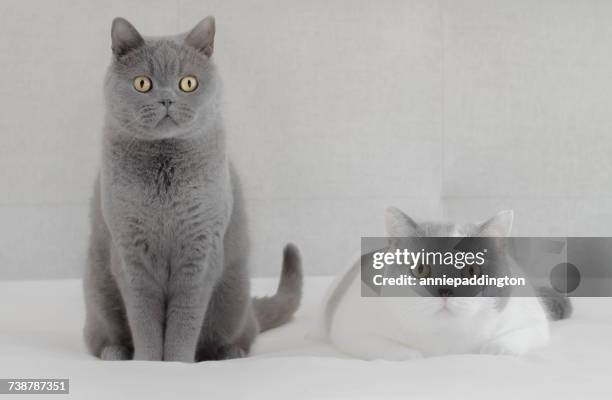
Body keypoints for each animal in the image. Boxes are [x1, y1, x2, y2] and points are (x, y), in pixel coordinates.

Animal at [82, 16, 302, 362]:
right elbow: (143, 318)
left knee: (240, 333)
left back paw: (229, 353)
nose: (167, 99)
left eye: (188, 83)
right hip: (97, 287)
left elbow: (184, 320)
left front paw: (176, 364)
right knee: (99, 335)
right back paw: (115, 352)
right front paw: (146, 363)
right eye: (142, 83)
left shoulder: (200, 248)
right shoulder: (130, 251)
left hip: (234, 296)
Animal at [318, 208, 572, 360]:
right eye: (421, 270)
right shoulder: (349, 327)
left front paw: (495, 349)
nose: (444, 290)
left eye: (472, 270)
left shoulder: (531, 318)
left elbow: (515, 338)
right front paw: (411, 355)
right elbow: (393, 351)